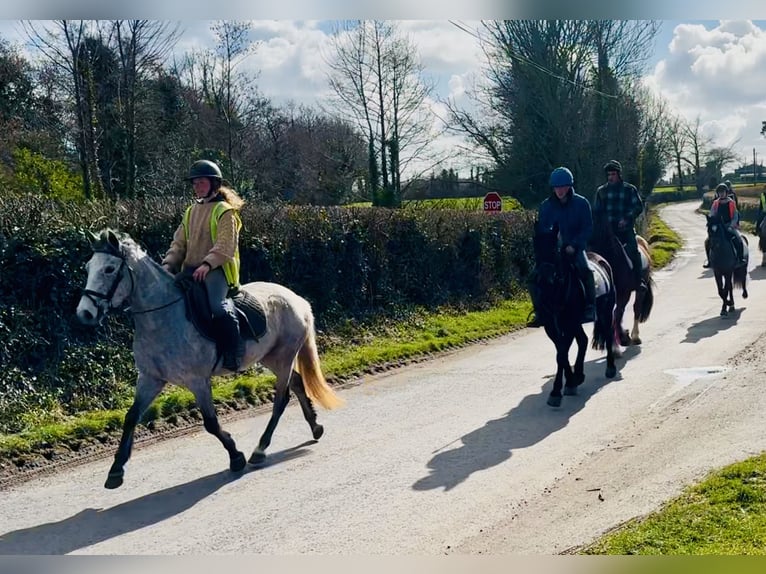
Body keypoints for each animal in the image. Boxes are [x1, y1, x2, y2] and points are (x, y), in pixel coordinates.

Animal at [76, 230, 344, 490]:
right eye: (88, 267)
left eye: (109, 269)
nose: (84, 313)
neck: (163, 318)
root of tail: (296, 299)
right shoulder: (150, 379)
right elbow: (131, 417)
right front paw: (115, 471)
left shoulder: (197, 381)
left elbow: (211, 423)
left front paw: (236, 457)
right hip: (271, 358)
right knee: (297, 382)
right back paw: (315, 427)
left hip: (284, 357)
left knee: (281, 399)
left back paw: (260, 449)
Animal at [532, 222, 620, 410]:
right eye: (535, 248)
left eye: (555, 250)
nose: (544, 279)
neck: (554, 292)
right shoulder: (551, 326)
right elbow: (561, 352)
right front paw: (570, 382)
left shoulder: (570, 323)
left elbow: (562, 354)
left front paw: (556, 392)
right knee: (583, 340)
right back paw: (578, 375)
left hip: (605, 312)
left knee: (608, 334)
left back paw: (610, 368)